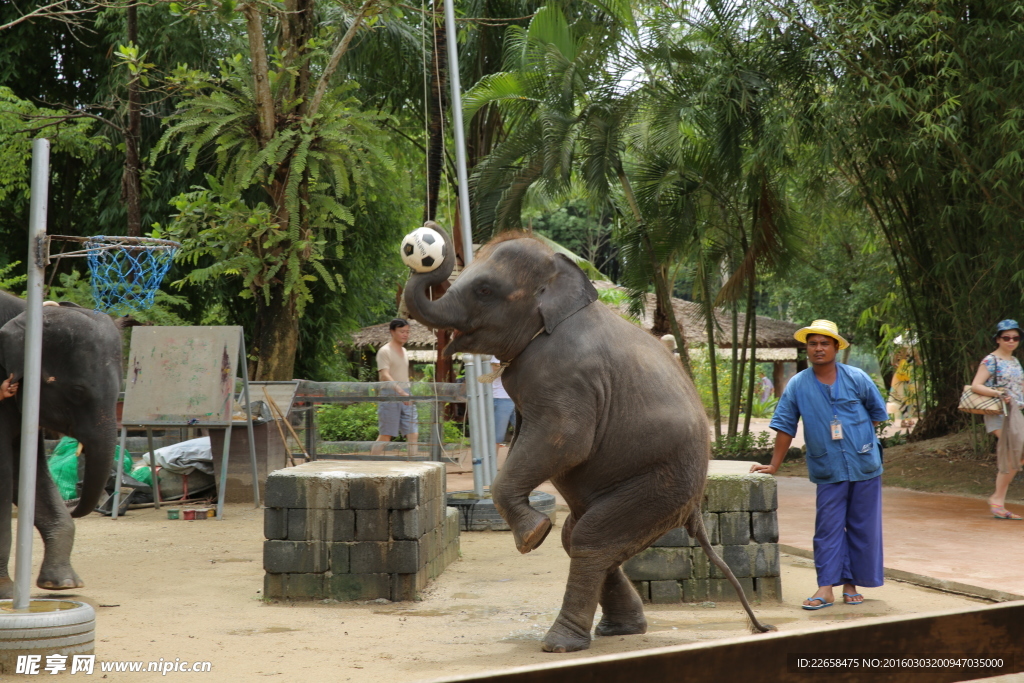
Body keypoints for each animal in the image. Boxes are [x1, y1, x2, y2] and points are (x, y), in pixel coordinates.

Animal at [403, 223, 770, 651]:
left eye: (484, 290)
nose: (430, 233)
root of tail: (695, 509)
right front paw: (536, 531)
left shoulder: (566, 375)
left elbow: (567, 441)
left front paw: (532, 537)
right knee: (583, 537)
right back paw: (619, 629)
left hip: (661, 486)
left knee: (590, 539)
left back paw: (559, 642)